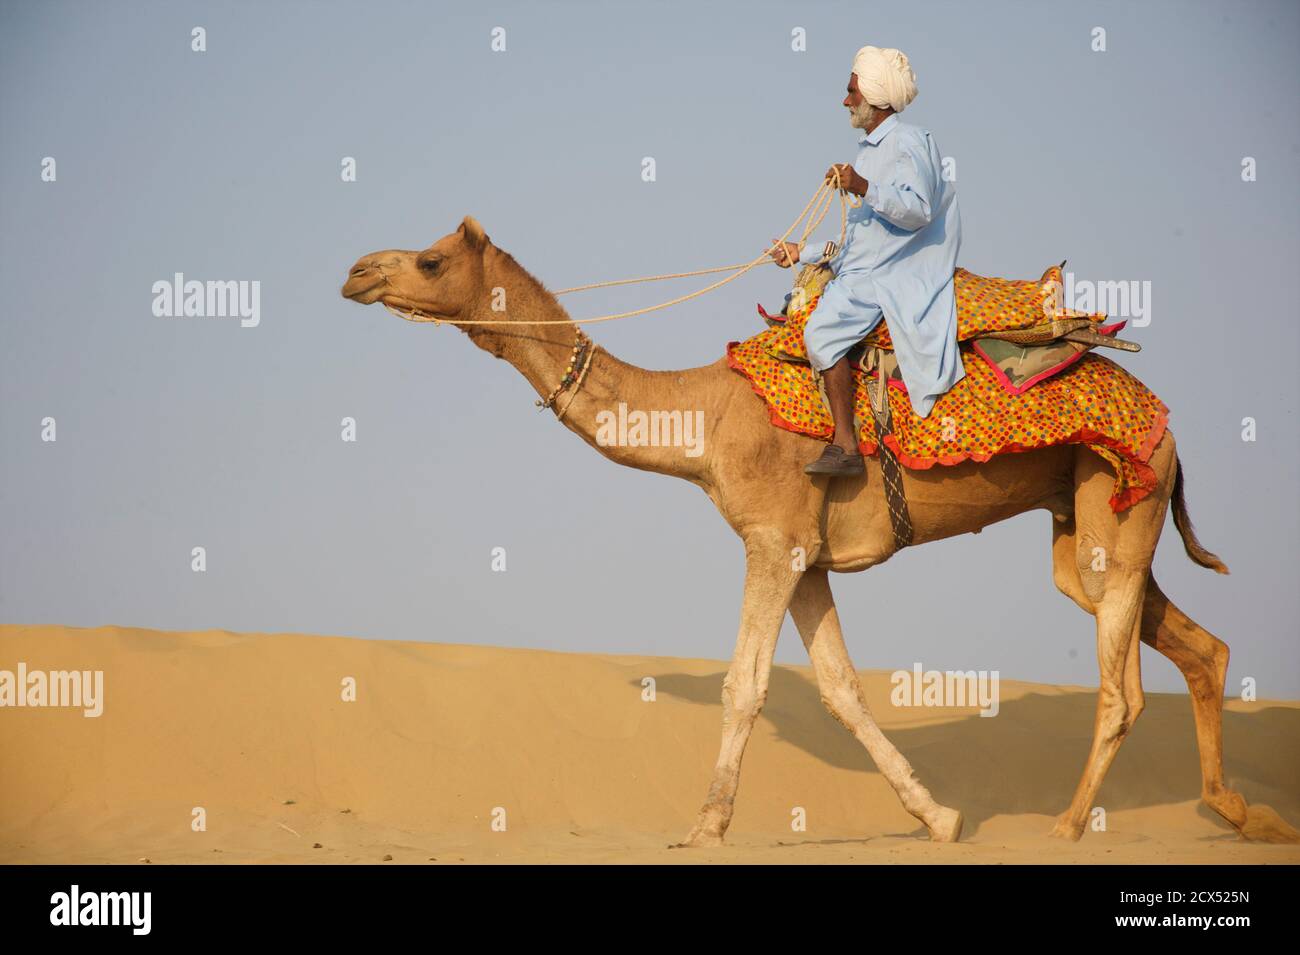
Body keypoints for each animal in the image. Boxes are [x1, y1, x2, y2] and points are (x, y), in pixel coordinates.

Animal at [340, 216, 1294, 841]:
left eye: (429, 258)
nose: (356, 271)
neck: (706, 419)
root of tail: (1166, 417)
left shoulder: (772, 538)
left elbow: (745, 684)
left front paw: (707, 827)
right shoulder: (809, 557)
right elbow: (841, 690)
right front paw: (941, 816)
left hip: (1119, 496)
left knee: (1122, 683)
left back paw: (1065, 824)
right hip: (1094, 517)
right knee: (1195, 644)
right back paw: (1239, 810)